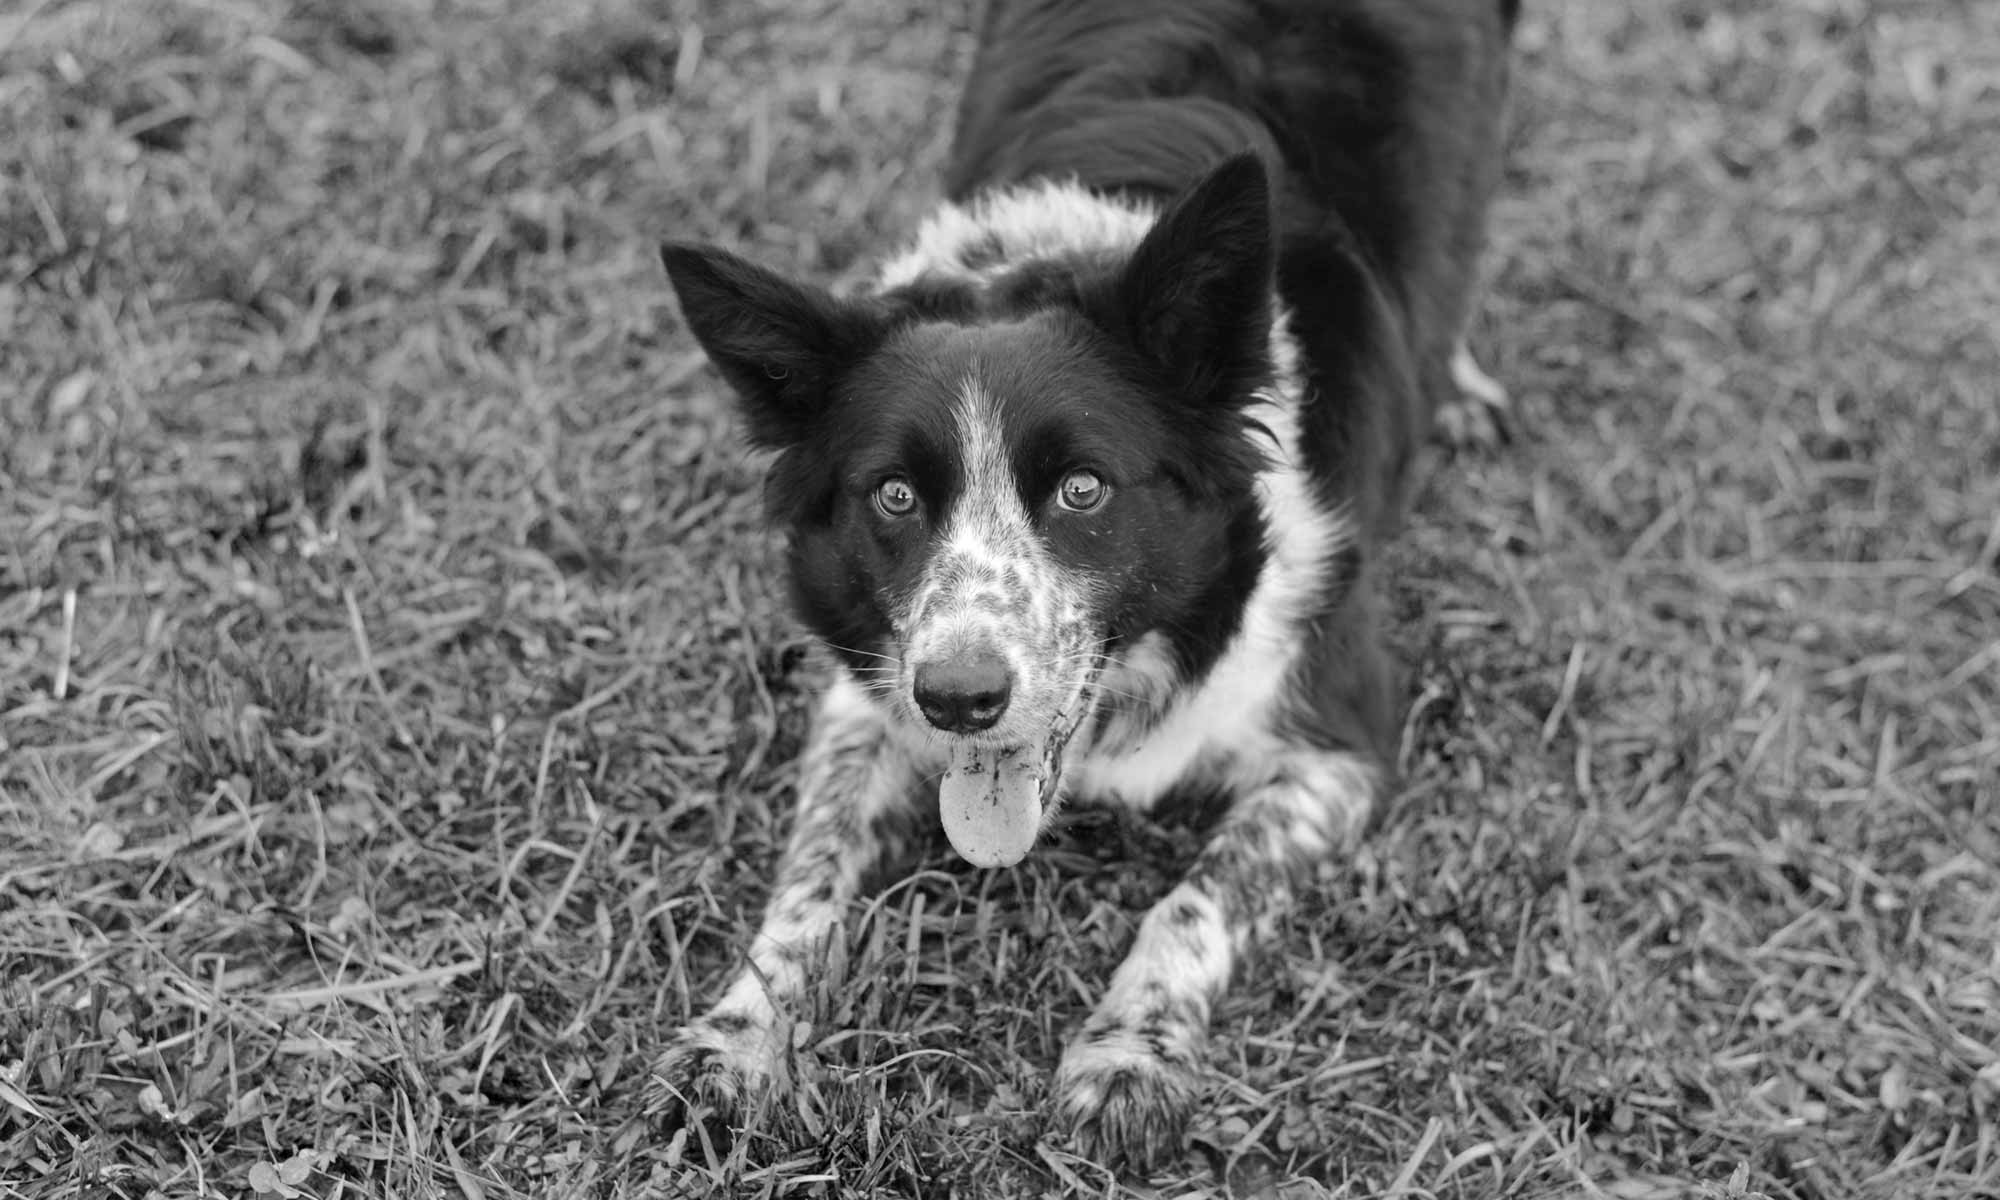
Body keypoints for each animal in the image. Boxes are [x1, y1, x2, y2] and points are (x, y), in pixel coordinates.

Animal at [656, 0, 1512, 1168]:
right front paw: (742, 1037)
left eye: (1081, 488)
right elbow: (809, 876)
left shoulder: (1339, 738)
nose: (960, 701)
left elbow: (1195, 903)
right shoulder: (867, 693)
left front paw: (1129, 1058)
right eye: (892, 497)